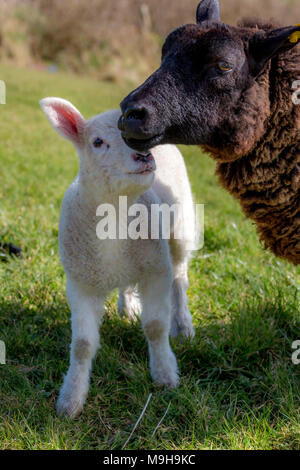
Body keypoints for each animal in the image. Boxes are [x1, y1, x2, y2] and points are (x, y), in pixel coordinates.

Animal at [41, 98, 196, 418]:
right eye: (98, 142)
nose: (144, 156)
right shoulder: (80, 283)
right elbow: (82, 345)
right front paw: (71, 399)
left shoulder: (156, 271)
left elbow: (155, 326)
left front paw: (165, 374)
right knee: (128, 282)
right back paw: (129, 305)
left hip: (181, 227)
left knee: (180, 278)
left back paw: (183, 325)